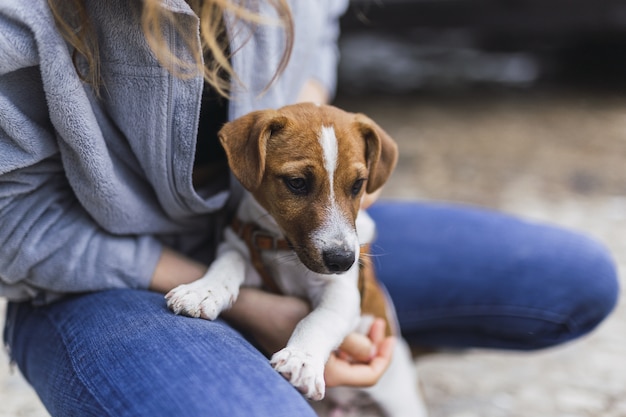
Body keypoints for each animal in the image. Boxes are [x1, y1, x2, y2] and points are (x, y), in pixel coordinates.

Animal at [166, 101, 426, 416]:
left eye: (358, 185)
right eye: (297, 183)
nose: (342, 261)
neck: (284, 250)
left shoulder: (343, 291)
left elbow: (319, 319)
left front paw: (301, 359)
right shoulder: (242, 247)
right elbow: (228, 263)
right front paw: (203, 291)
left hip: (401, 399)